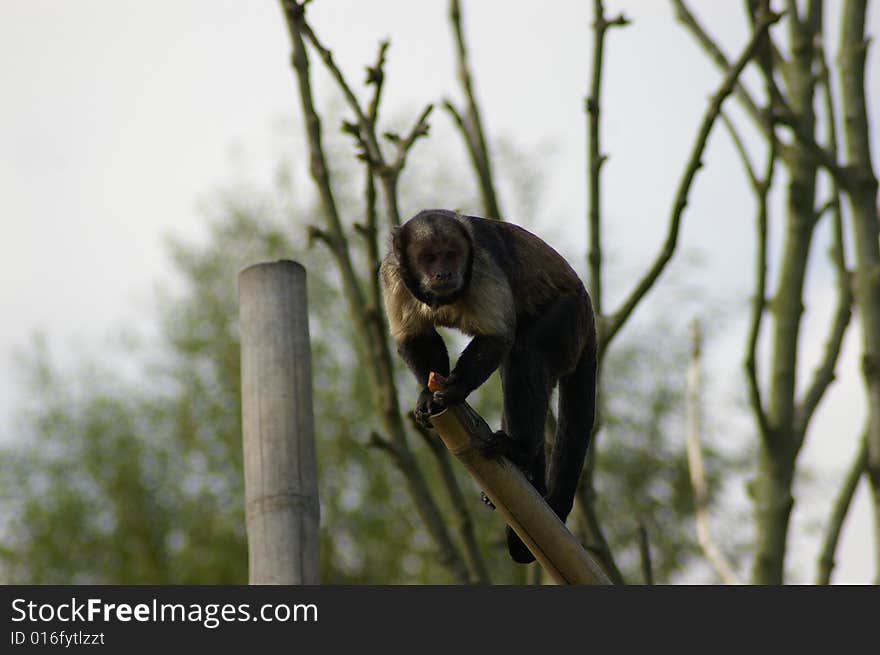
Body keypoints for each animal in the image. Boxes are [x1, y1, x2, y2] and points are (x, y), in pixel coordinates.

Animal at [380, 209, 600, 564]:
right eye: (428, 257)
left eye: (451, 254)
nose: (444, 271)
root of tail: (590, 321)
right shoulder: (392, 275)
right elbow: (415, 337)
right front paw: (429, 395)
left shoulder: (482, 266)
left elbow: (497, 337)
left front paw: (454, 391)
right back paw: (530, 472)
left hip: (571, 319)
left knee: (525, 351)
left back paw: (518, 448)